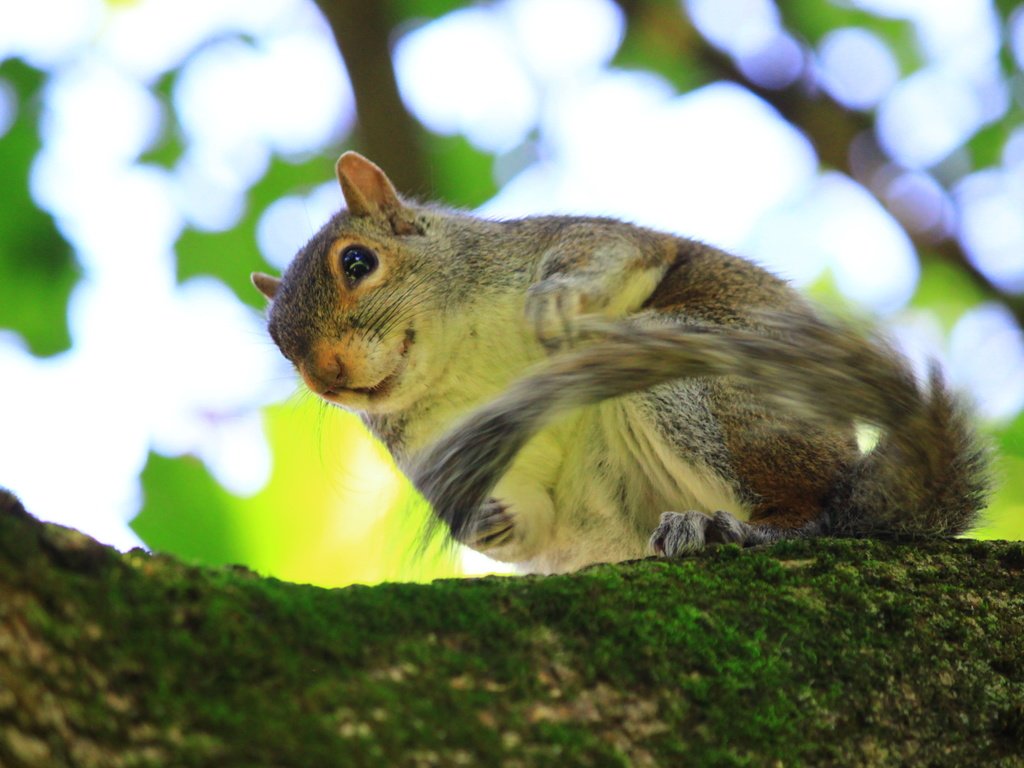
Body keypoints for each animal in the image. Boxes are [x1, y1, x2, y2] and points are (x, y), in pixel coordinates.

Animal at [249, 151, 991, 573]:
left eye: (356, 262)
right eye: (277, 342)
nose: (326, 378)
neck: (461, 358)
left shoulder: (570, 243)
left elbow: (616, 254)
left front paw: (554, 300)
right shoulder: (444, 449)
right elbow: (526, 520)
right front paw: (484, 520)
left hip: (704, 389)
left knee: (811, 513)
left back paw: (736, 529)